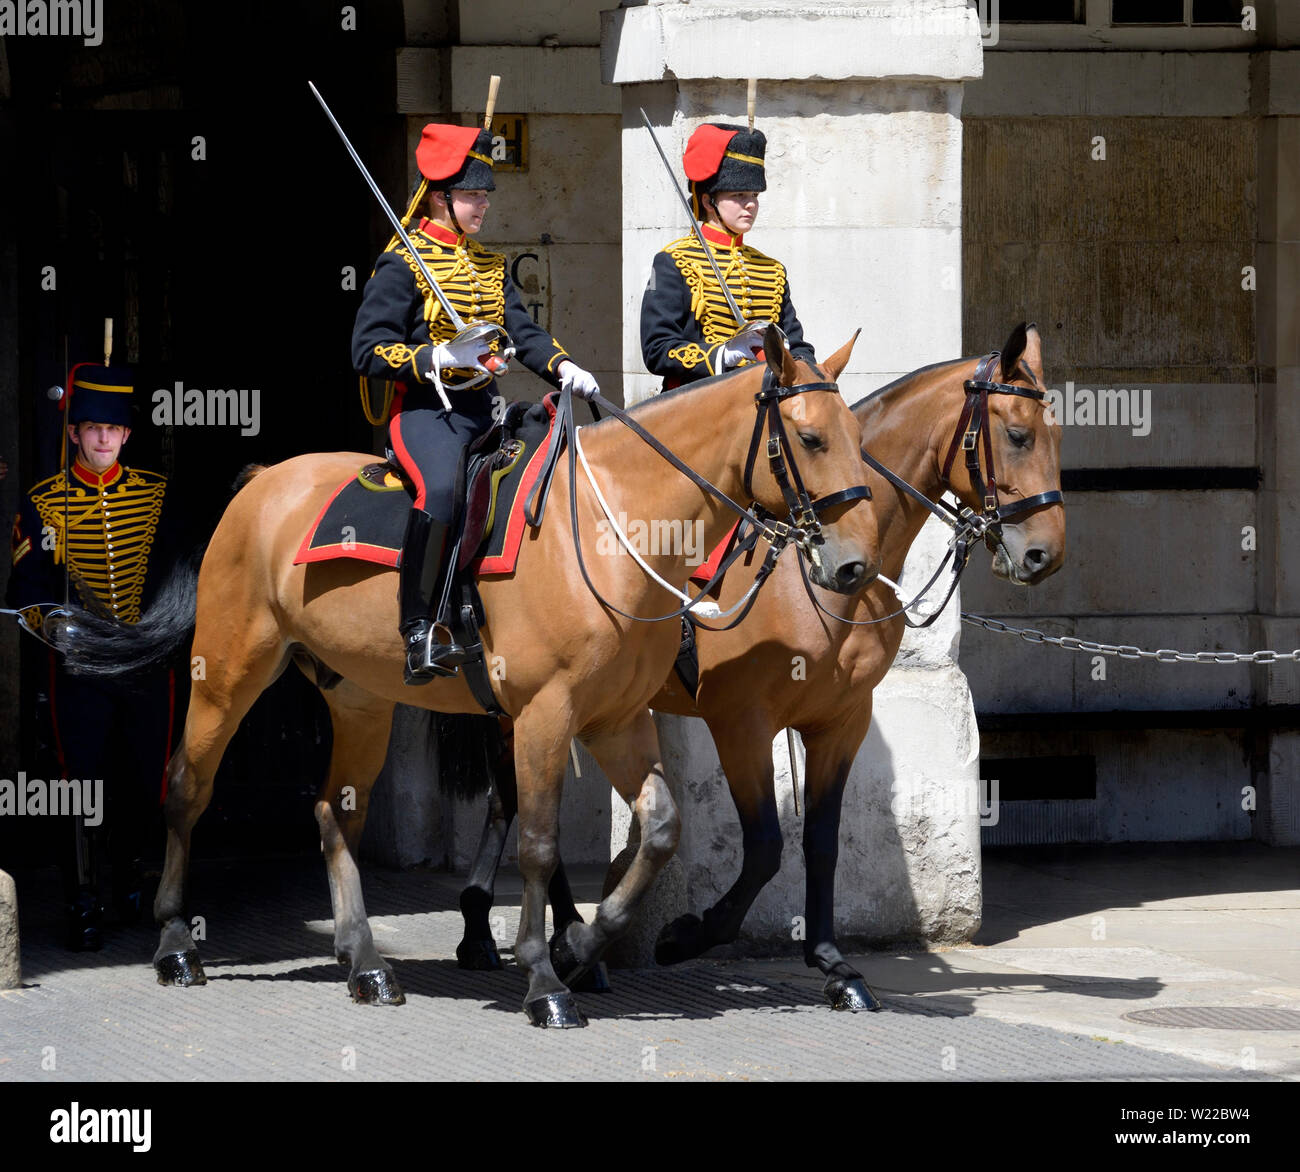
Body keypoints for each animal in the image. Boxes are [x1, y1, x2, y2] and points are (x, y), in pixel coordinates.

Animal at [63, 327, 880, 1028]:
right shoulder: (547, 713)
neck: (618, 525)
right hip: (228, 673)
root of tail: (265, 482)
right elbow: (541, 844)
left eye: (857, 439)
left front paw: (581, 950)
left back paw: (365, 961)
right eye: (810, 438)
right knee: (186, 788)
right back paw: (176, 942)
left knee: (335, 812)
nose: (851, 567)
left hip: (362, 699)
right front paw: (544, 978)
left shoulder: (616, 719)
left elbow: (660, 829)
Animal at [454, 322, 1065, 1011]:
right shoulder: (741, 720)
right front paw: (686, 936)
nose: (1045, 553)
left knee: (515, 802)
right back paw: (525, 937)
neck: (816, 574)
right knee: (514, 802)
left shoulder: (841, 721)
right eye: (1018, 435)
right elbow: (767, 847)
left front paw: (833, 964)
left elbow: (821, 843)